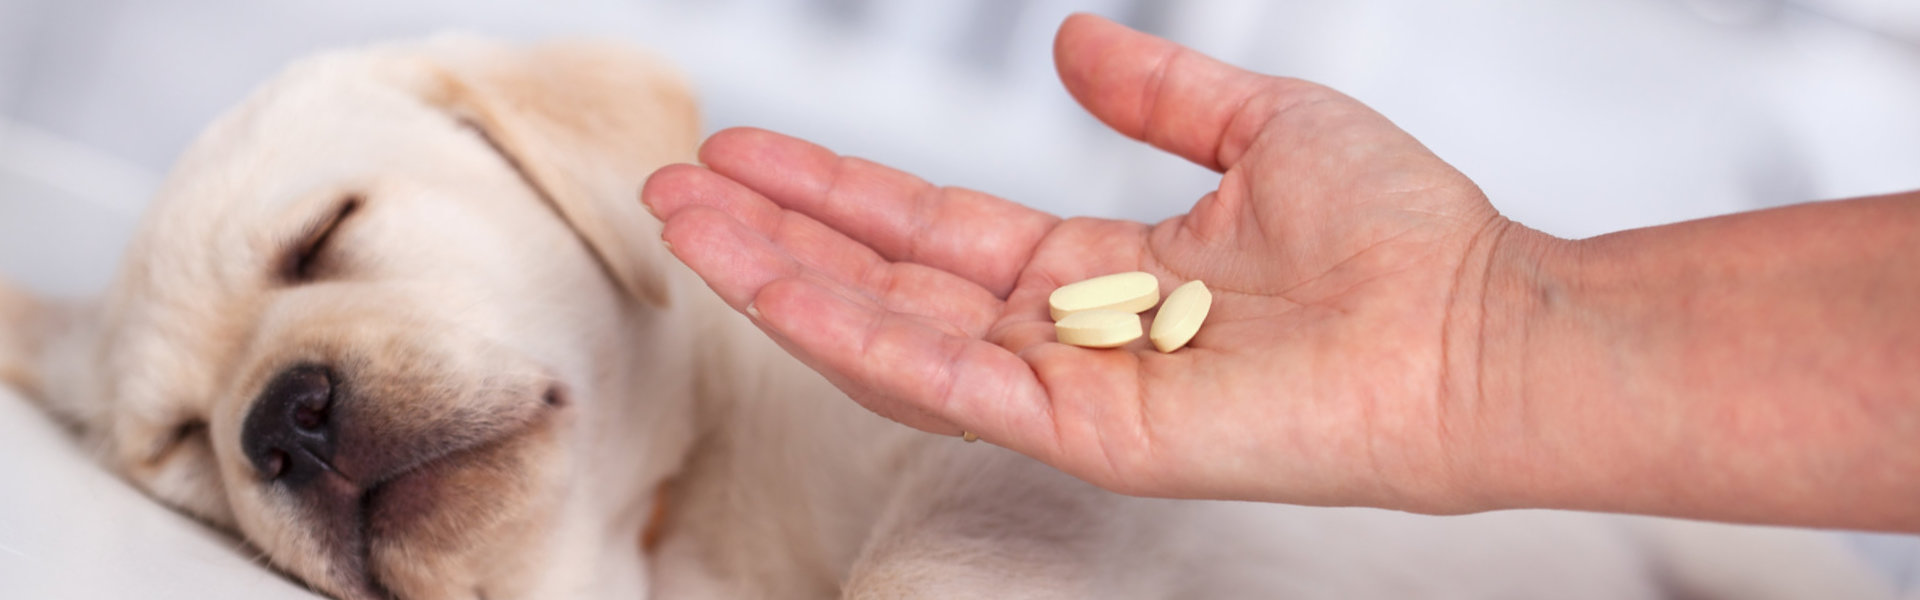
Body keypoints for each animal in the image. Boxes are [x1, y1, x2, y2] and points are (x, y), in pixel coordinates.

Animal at [0, 38, 1896, 600]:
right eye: (179, 451)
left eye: (322, 237)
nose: (280, 422)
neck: (679, 535)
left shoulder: (999, 484)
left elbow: (953, 531)